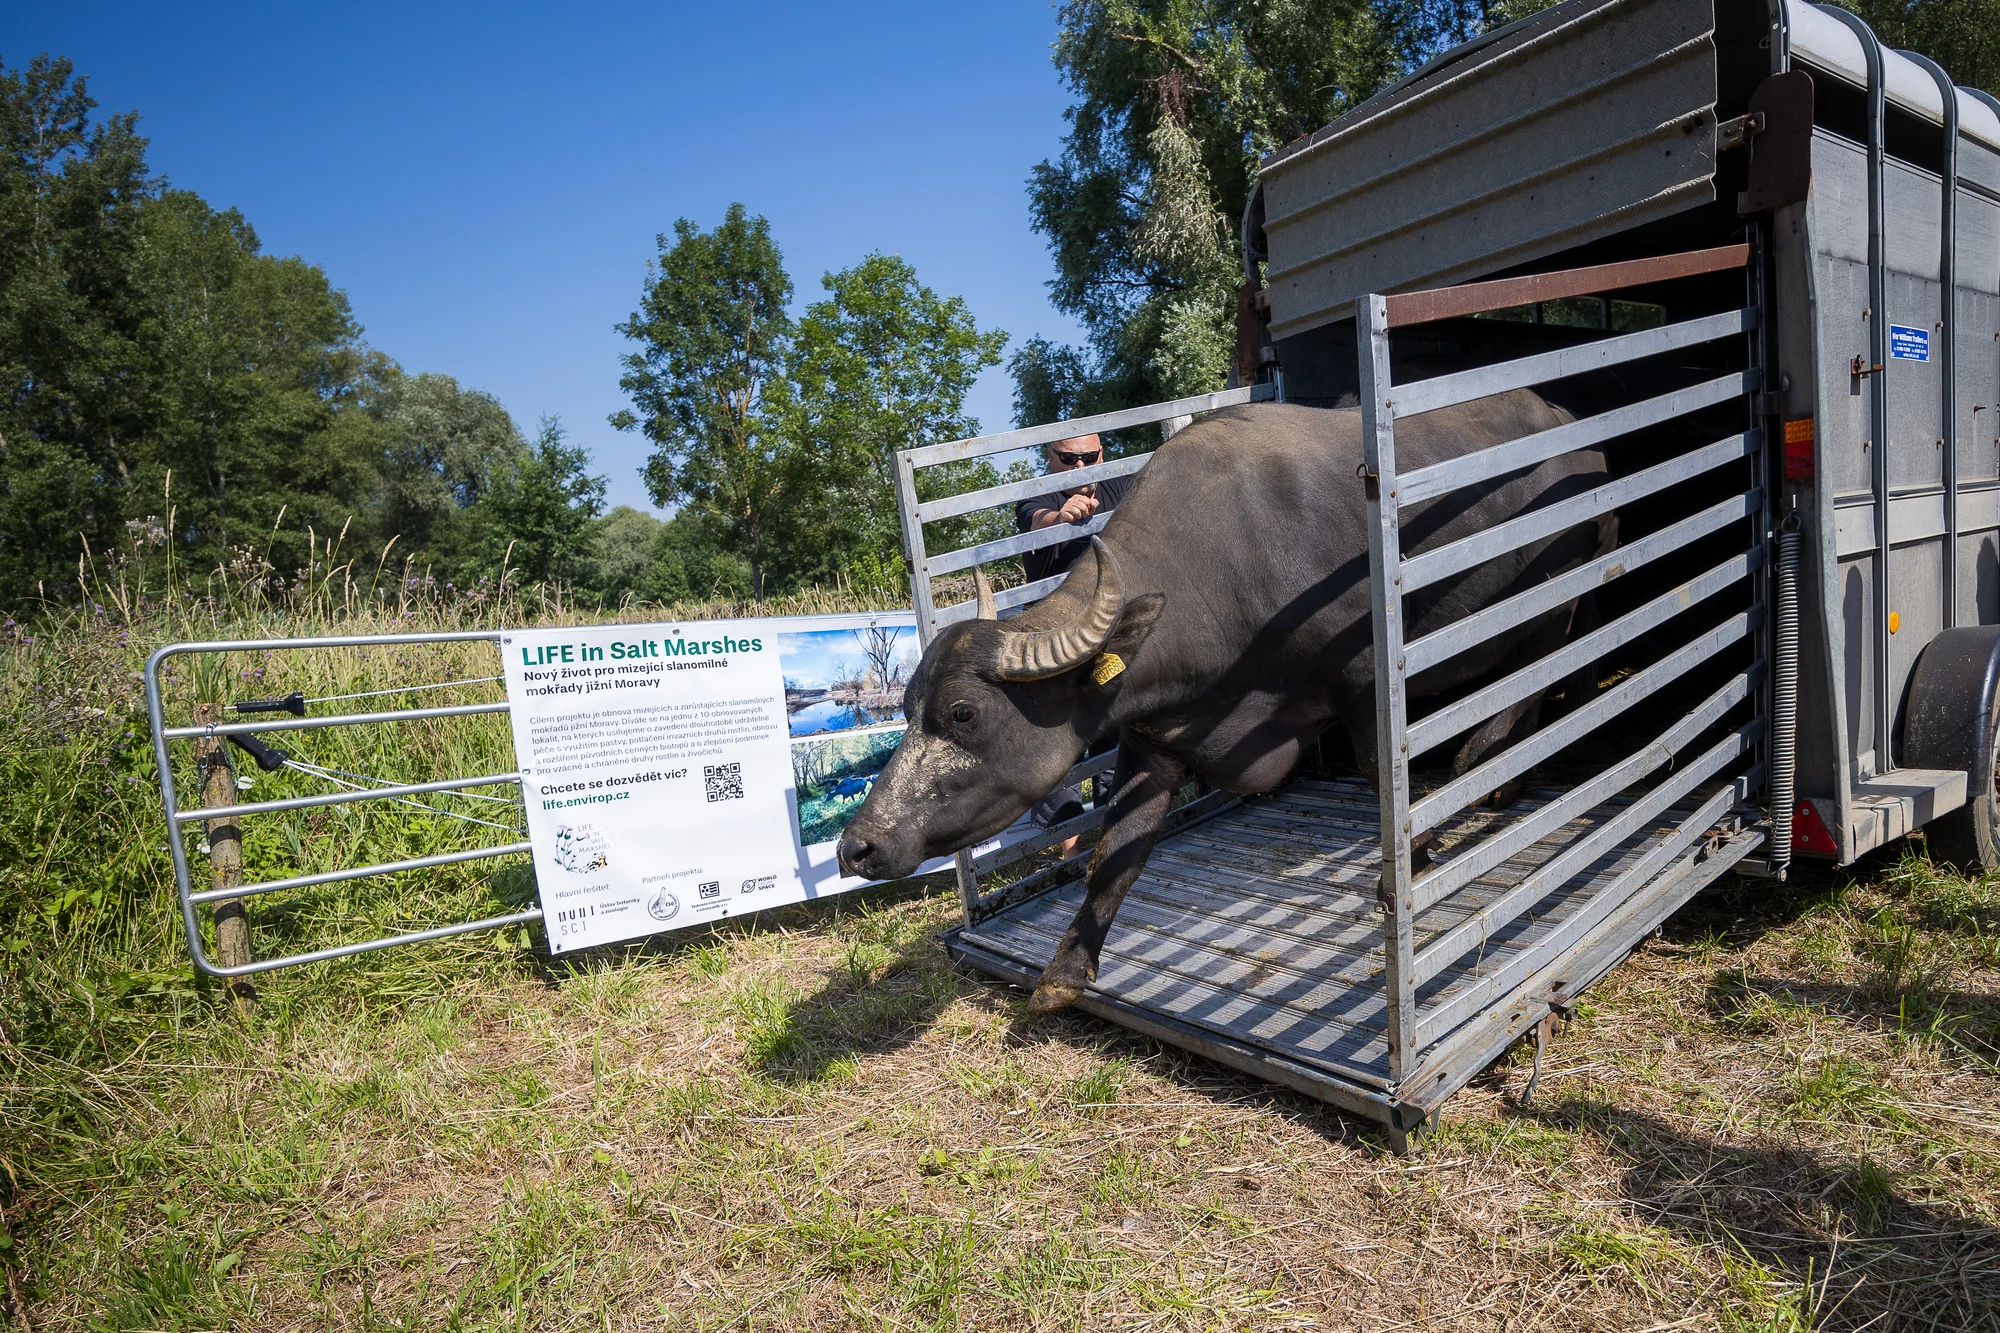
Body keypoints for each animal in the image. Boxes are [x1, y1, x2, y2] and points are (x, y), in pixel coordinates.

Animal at [837, 394, 1614, 1015]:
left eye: (963, 712)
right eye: (907, 707)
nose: (857, 846)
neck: (1230, 565)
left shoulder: (1364, 686)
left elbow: (1380, 781)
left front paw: (1415, 858)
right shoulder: (1155, 739)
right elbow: (1116, 853)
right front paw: (1064, 971)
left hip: (1559, 596)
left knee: (1547, 671)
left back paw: (1481, 764)